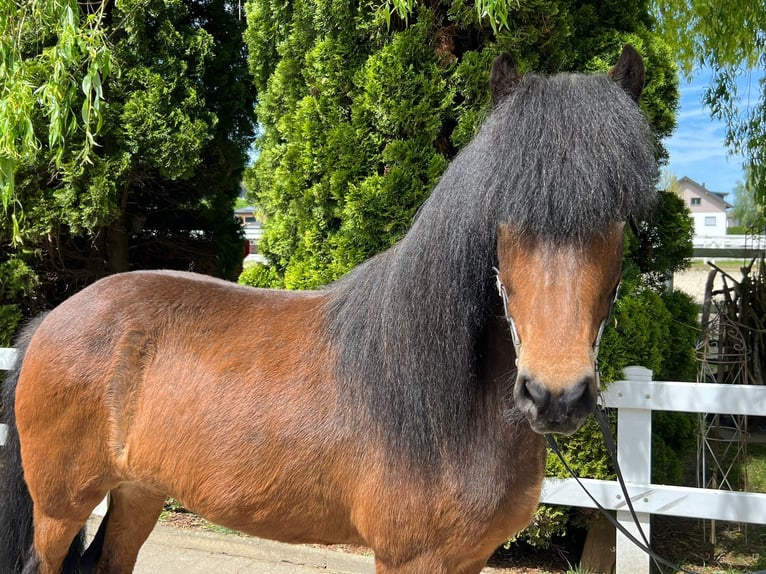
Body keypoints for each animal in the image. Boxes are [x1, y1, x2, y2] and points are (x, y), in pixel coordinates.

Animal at [1, 46, 660, 574]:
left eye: (619, 213)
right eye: (504, 211)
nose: (555, 395)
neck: (443, 402)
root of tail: (52, 322)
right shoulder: (407, 558)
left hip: (138, 491)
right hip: (58, 508)